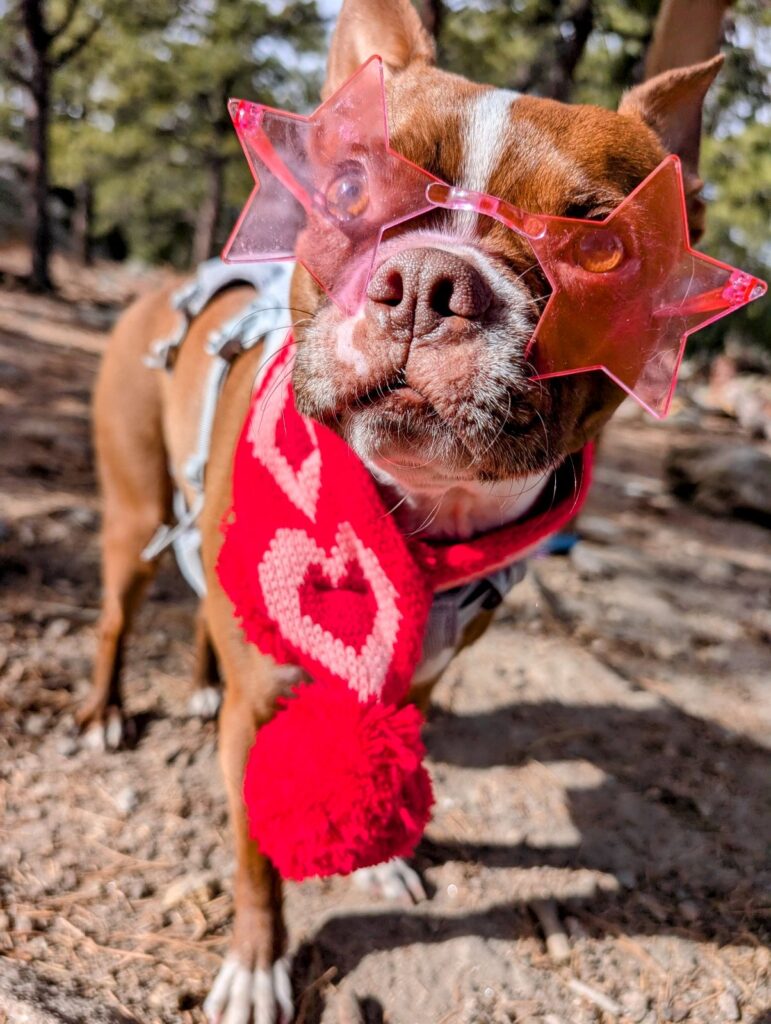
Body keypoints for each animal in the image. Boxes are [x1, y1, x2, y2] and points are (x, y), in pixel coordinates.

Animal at [81, 4, 724, 1019]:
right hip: (134, 512)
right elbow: (256, 854)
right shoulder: (262, 708)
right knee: (118, 613)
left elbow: (379, 752)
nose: (427, 279)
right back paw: (108, 711)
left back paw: (196, 679)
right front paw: (257, 964)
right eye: (349, 187)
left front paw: (380, 858)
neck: (416, 522)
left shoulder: (419, 675)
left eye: (599, 249)